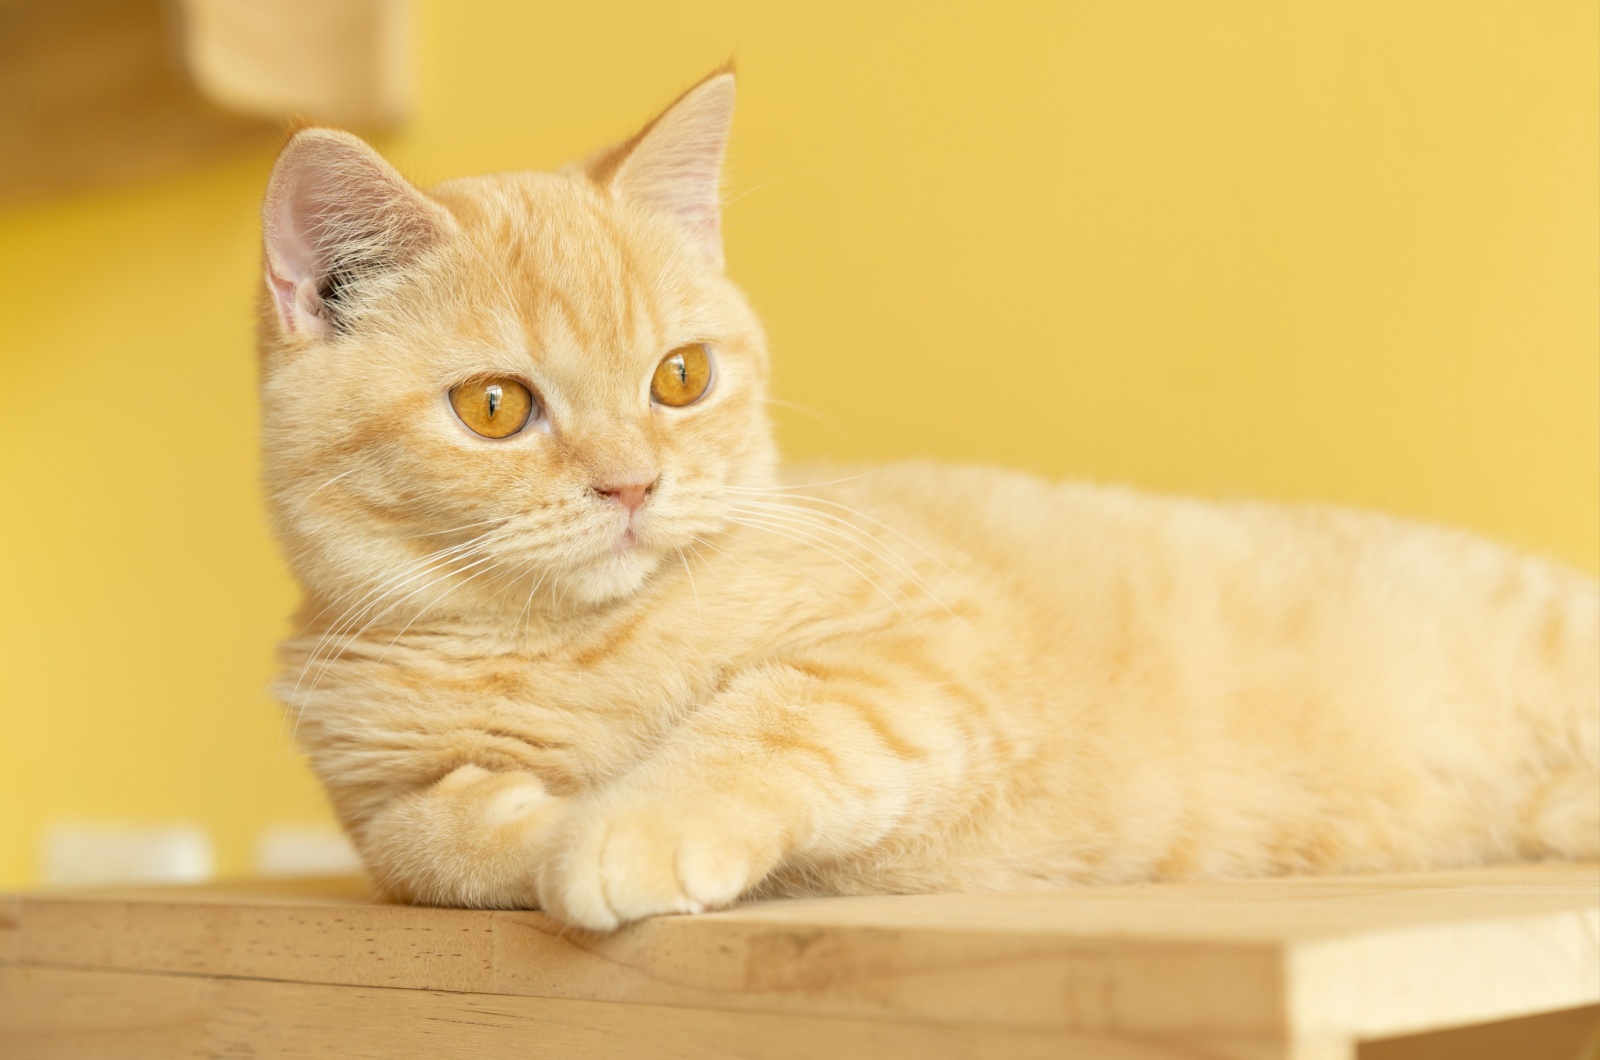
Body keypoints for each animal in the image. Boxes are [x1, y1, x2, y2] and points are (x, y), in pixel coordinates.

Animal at [256, 68, 1593, 928]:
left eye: (679, 378)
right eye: (495, 406)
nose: (632, 481)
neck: (571, 647)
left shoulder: (936, 646)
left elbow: (773, 714)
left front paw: (631, 825)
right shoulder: (376, 803)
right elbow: (436, 838)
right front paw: (546, 826)